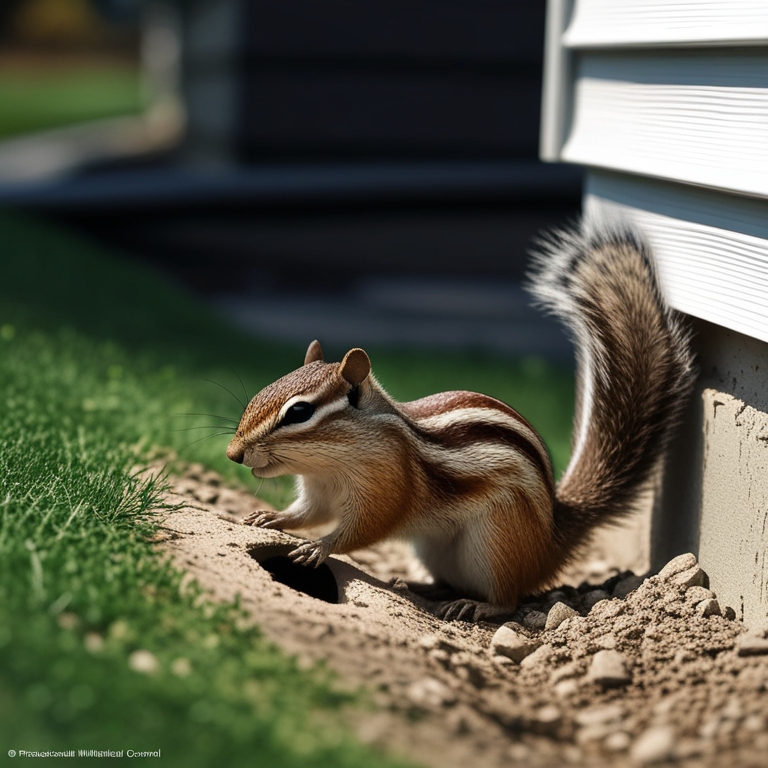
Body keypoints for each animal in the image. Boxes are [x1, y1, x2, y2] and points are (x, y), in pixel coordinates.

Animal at [225, 217, 695, 621]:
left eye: (299, 412)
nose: (232, 454)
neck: (329, 461)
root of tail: (550, 541)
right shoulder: (319, 492)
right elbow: (307, 513)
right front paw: (271, 518)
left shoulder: (389, 484)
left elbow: (365, 528)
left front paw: (321, 547)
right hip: (436, 548)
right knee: (452, 581)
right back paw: (421, 587)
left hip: (495, 540)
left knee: (508, 598)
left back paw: (478, 606)